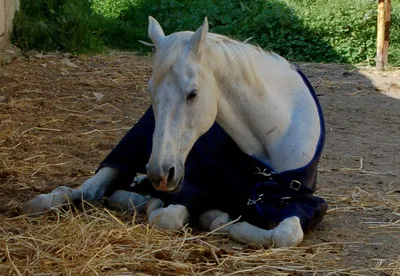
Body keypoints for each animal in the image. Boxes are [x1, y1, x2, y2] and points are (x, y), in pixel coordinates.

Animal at [21, 16, 328, 248]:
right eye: (150, 92)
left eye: (193, 94)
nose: (160, 173)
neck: (274, 132)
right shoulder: (193, 185)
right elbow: (166, 217)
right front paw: (214, 218)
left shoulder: (296, 201)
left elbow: (287, 234)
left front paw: (220, 219)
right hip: (131, 149)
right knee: (90, 189)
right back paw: (47, 201)